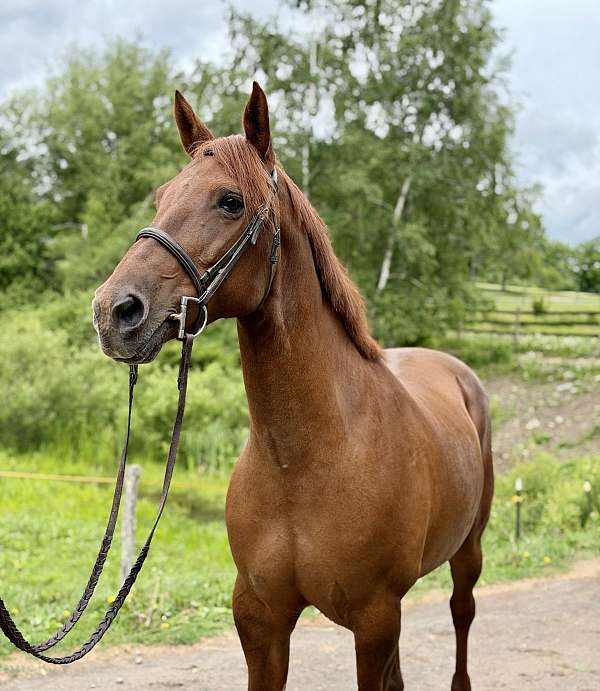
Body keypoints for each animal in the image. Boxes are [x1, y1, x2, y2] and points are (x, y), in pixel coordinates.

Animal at [93, 82, 494, 691]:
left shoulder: (374, 621)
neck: (306, 460)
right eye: (161, 197)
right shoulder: (259, 620)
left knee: (462, 614)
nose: (114, 311)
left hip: (467, 554)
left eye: (230, 201)